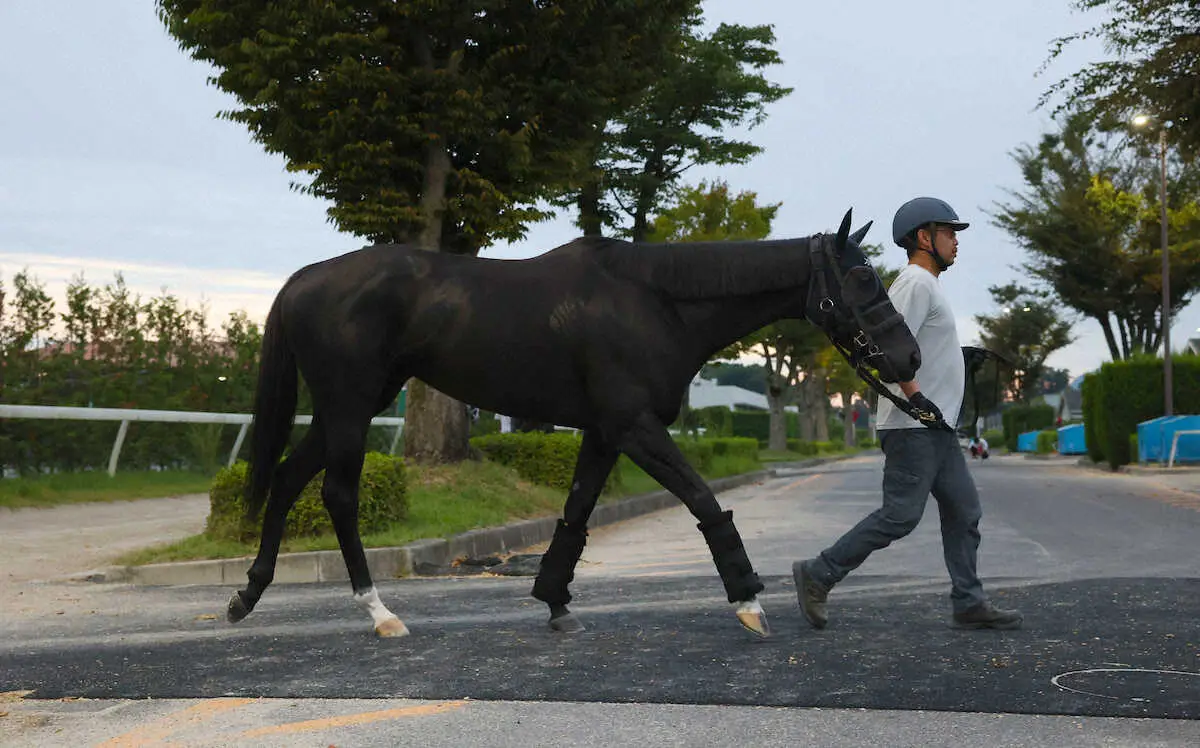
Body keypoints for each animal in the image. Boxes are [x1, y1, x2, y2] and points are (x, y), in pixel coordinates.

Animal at [226, 208, 916, 638]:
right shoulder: (635, 425)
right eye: (861, 277)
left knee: (286, 480)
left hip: (351, 407)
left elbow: (577, 511)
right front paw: (748, 600)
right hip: (350, 406)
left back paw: (247, 595)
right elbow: (702, 500)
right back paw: (380, 613)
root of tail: (302, 280)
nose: (908, 359)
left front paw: (556, 602)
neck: (655, 300)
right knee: (338, 495)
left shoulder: (606, 431)